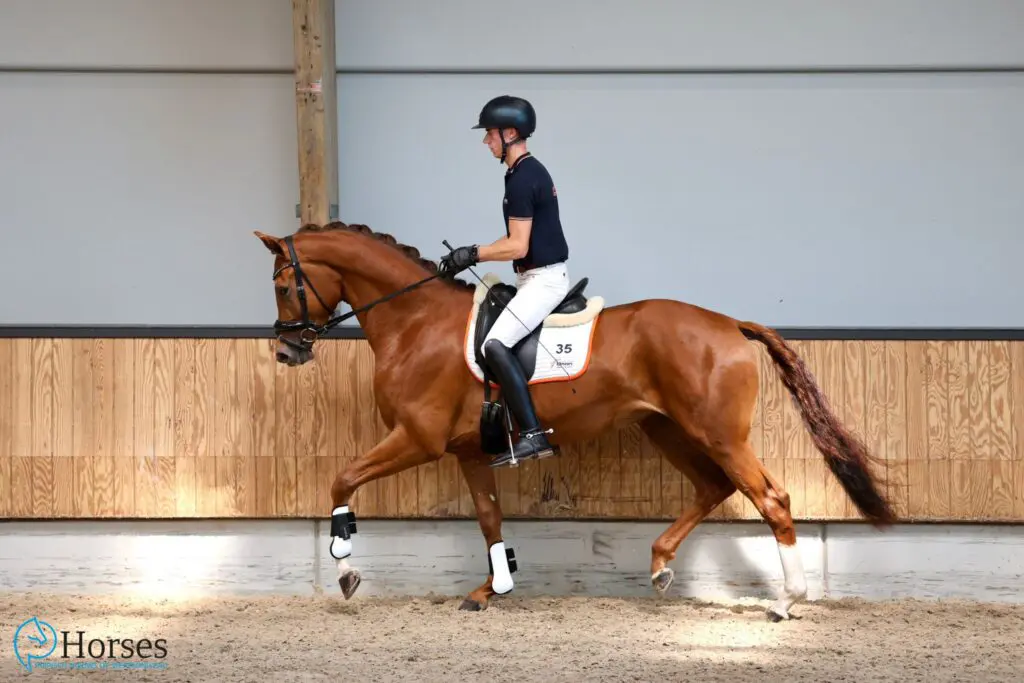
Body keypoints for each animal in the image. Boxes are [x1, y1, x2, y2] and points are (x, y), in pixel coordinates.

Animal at [253, 220, 896, 621]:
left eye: (284, 285)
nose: (287, 351)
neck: (415, 321)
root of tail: (729, 323)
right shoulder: (469, 451)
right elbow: (489, 519)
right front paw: (493, 588)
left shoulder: (418, 438)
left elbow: (341, 478)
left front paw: (344, 567)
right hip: (666, 428)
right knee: (712, 487)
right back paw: (660, 566)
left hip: (716, 433)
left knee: (772, 498)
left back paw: (786, 602)